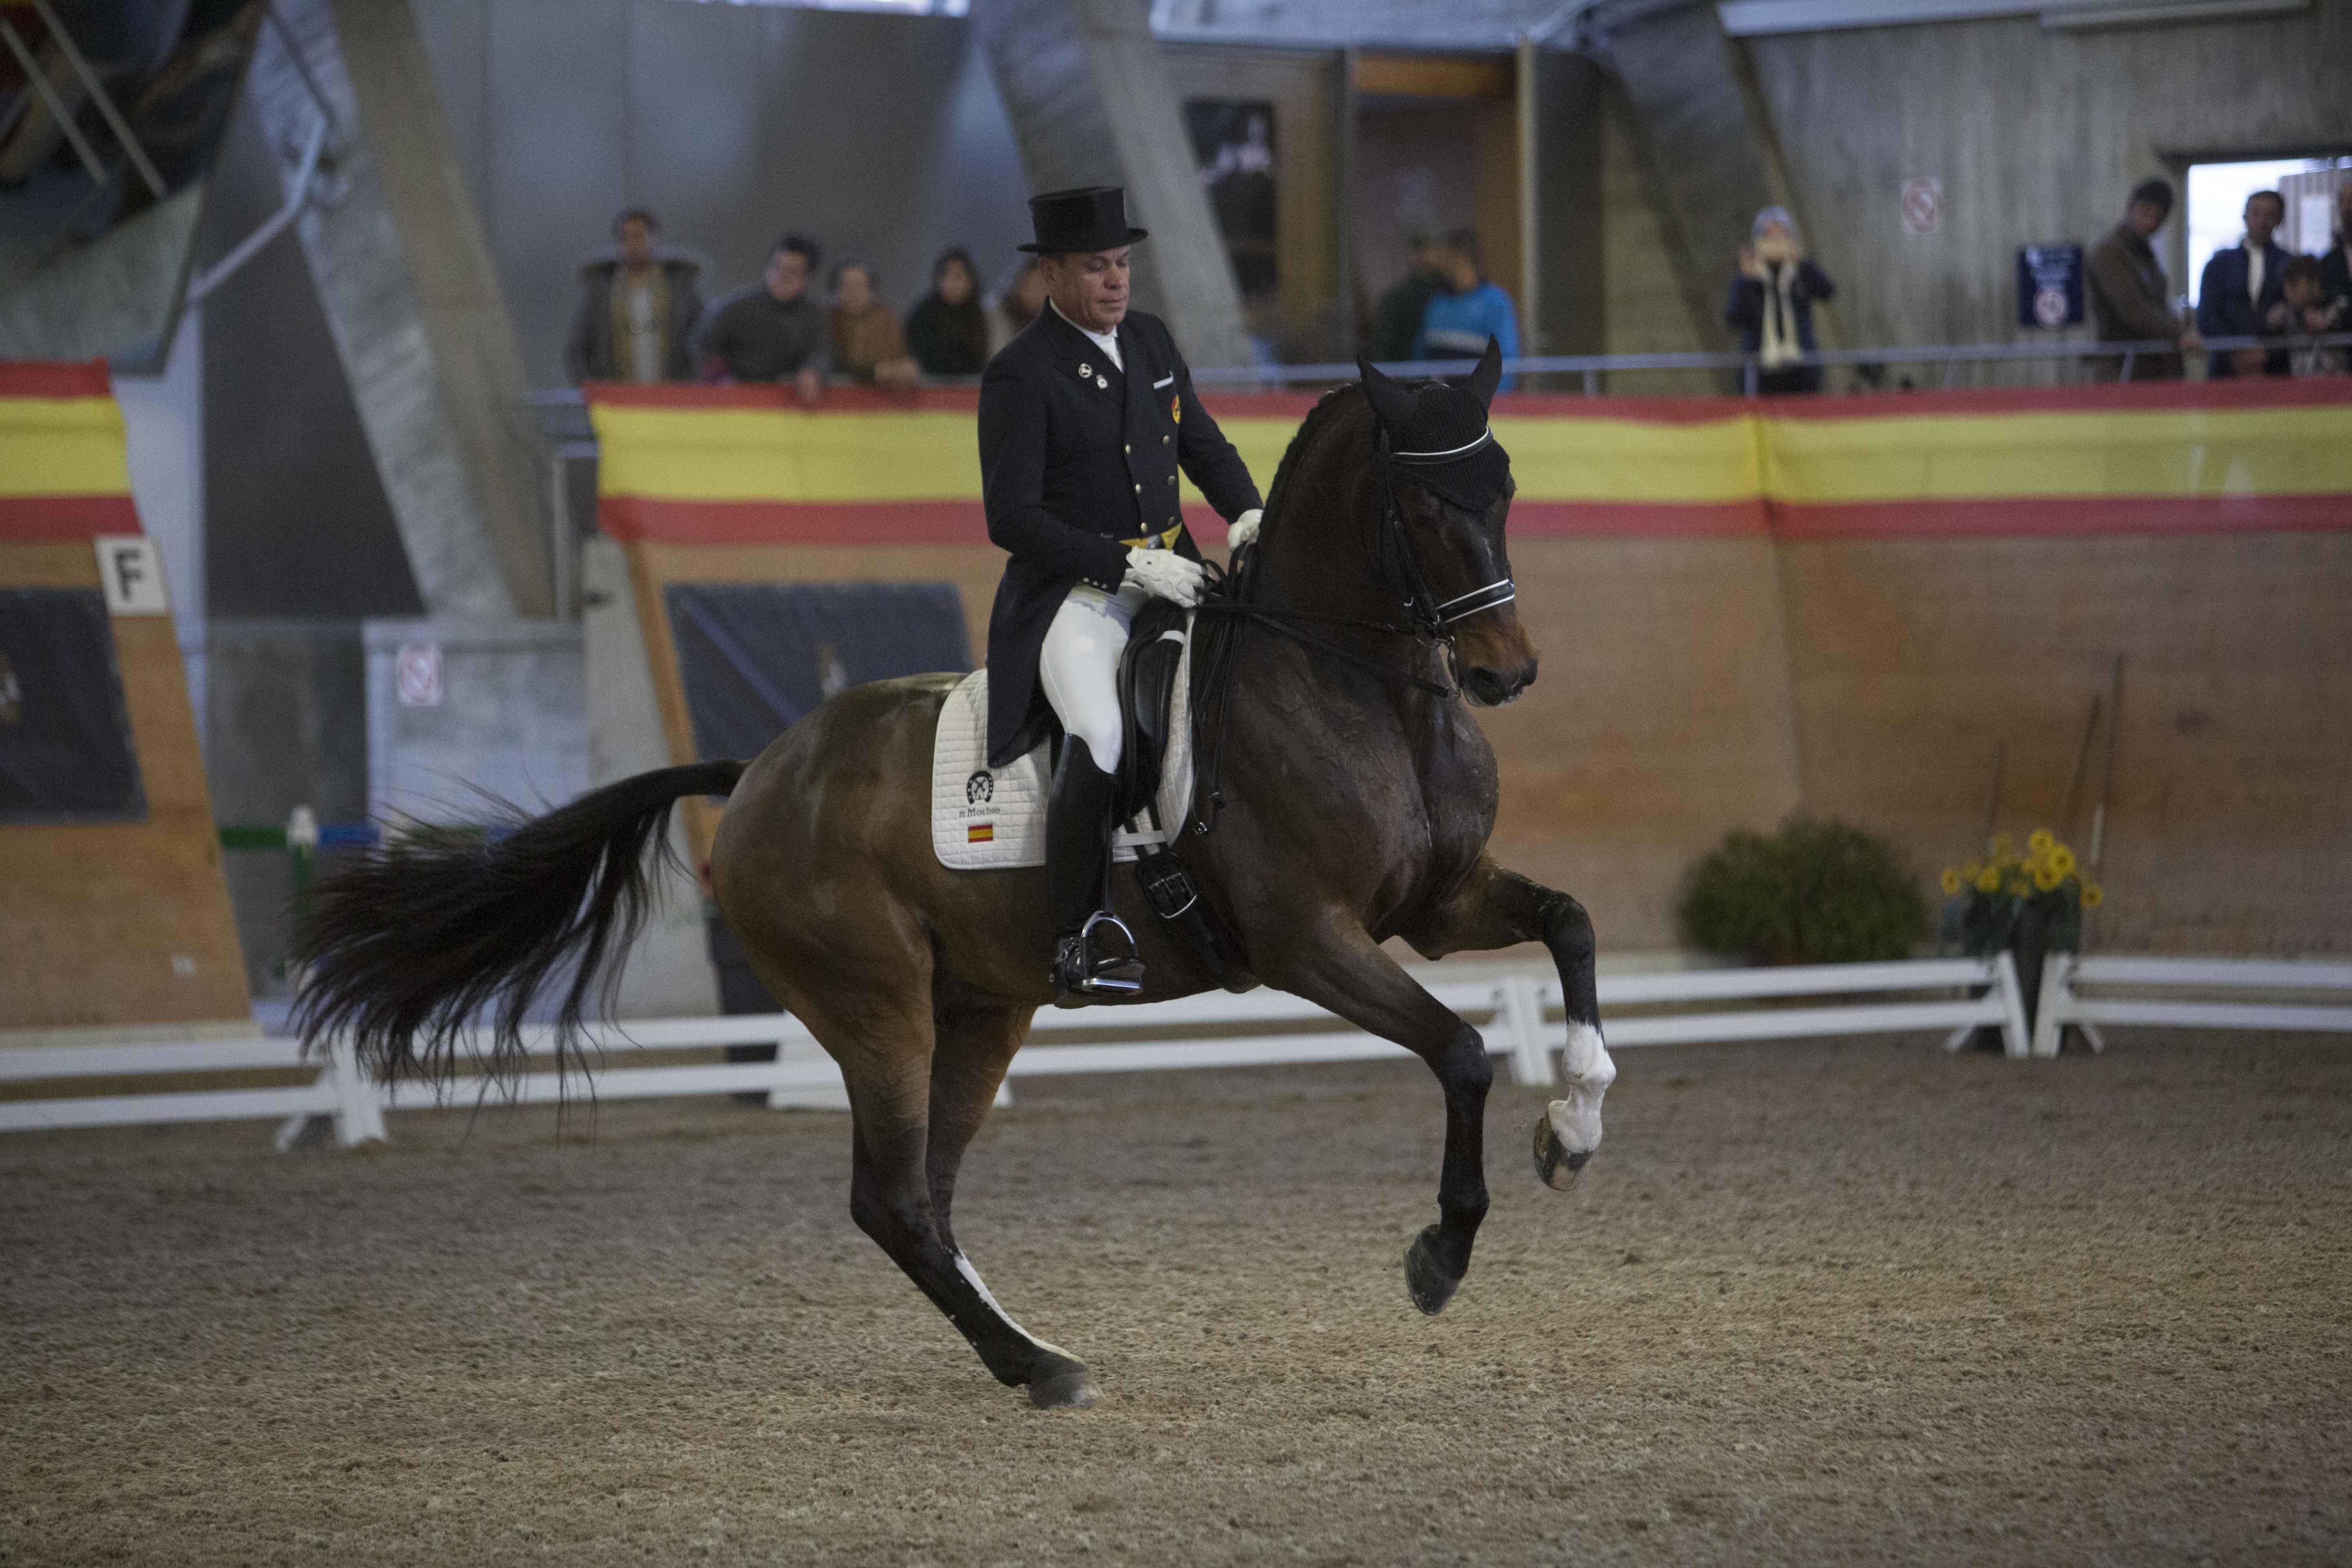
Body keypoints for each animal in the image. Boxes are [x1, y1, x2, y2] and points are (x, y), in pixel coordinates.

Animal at [289, 343, 1618, 1410]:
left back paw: (1026, 1349)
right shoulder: (1309, 940)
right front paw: (1440, 1254)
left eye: (1505, 486)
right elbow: (1459, 1048)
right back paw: (1039, 1364)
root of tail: (763, 767)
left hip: (980, 1006)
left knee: (924, 1192)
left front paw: (1576, 1119)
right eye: (1422, 499)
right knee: (892, 1199)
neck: (1359, 689)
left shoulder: (1435, 904)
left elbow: (1571, 926)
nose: (1504, 671)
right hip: (878, 1005)